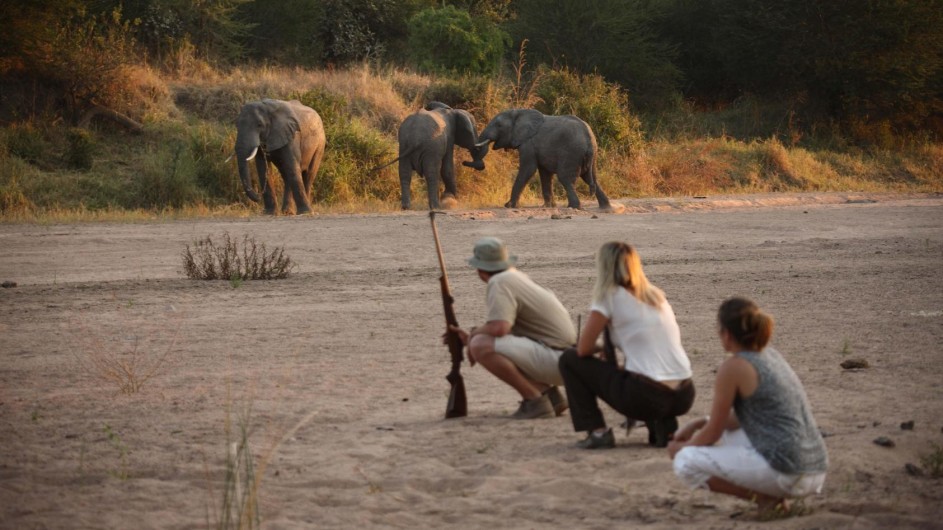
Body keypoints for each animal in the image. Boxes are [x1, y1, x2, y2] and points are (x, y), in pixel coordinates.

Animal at [476, 108, 616, 209]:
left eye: (499, 125)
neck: (519, 112)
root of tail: (589, 138)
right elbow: (545, 173)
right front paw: (548, 206)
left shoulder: (528, 144)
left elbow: (528, 170)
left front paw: (508, 206)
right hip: (590, 155)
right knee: (591, 178)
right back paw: (606, 208)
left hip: (572, 152)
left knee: (565, 178)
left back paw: (573, 206)